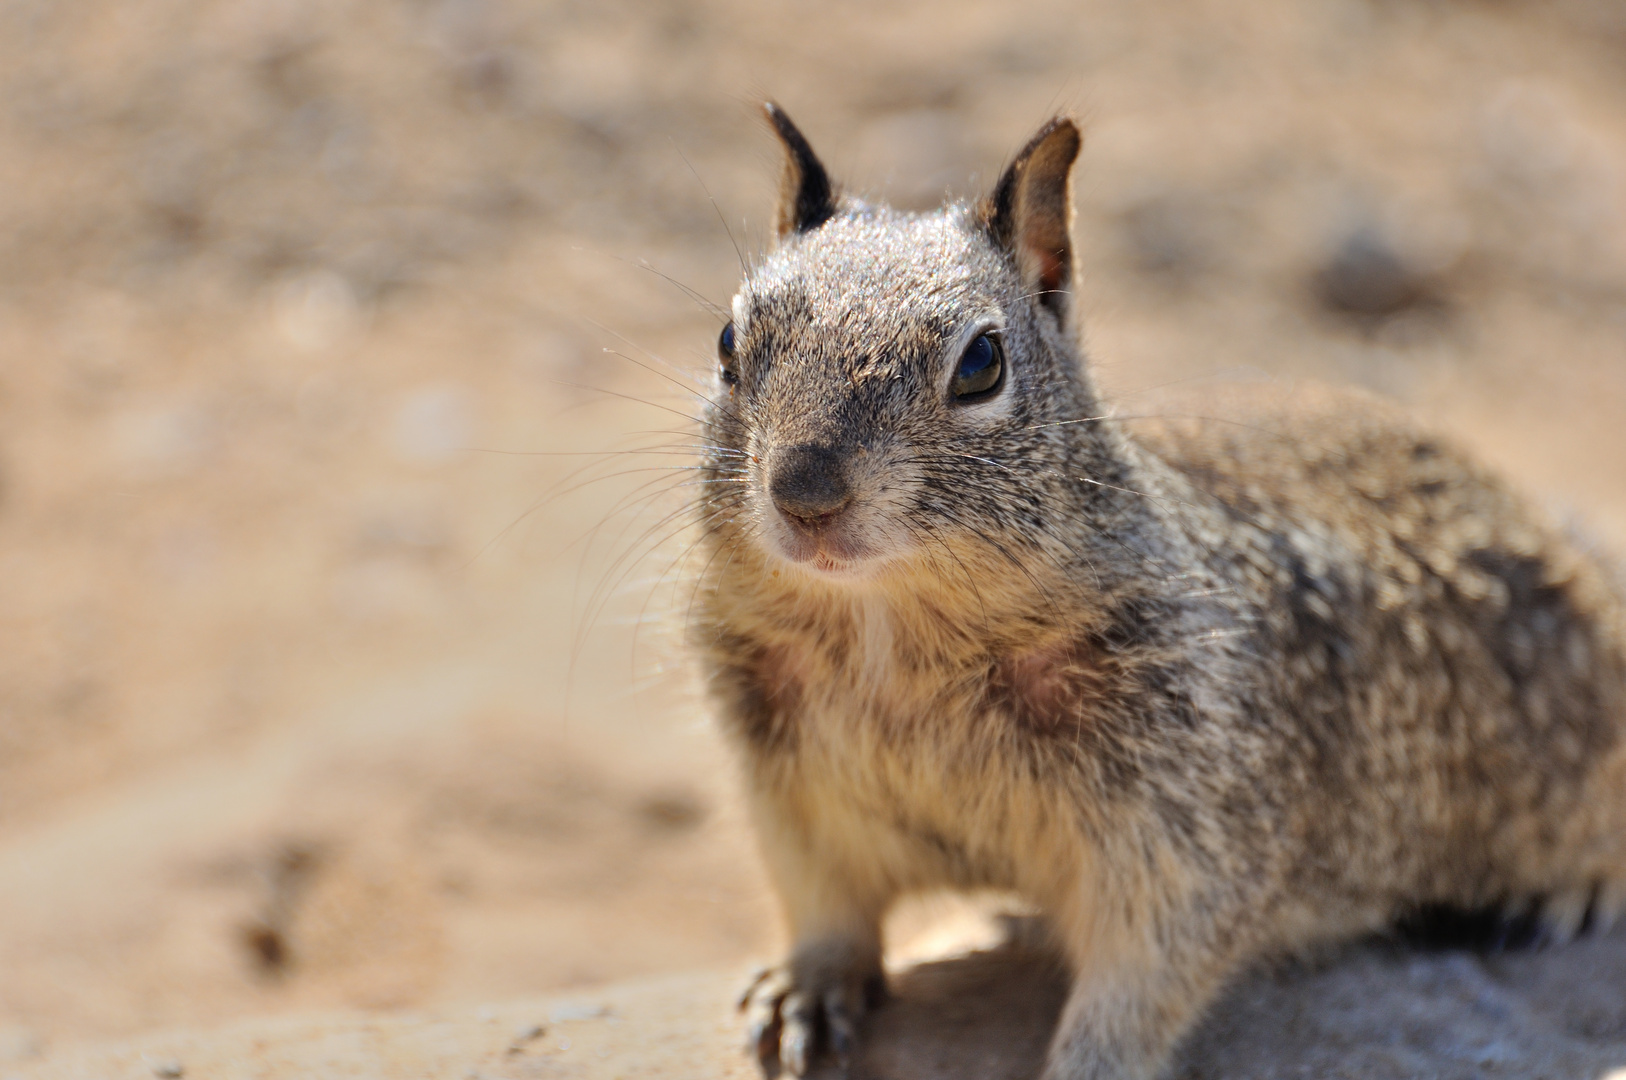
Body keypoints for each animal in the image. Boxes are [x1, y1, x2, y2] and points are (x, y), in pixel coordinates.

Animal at [686, 103, 1626, 1080]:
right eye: (727, 342)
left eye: (980, 364)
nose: (804, 491)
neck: (890, 632)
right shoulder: (785, 783)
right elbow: (823, 900)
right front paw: (807, 986)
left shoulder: (1189, 827)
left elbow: (1146, 973)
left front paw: (1088, 1065)